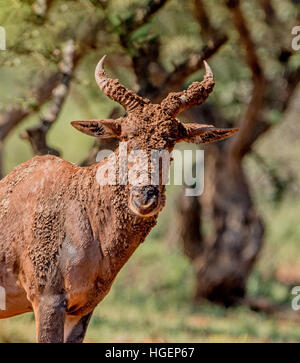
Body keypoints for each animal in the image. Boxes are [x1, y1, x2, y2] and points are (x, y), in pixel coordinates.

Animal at [0, 55, 238, 342]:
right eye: (125, 136)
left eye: (171, 139)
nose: (145, 198)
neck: (81, 203)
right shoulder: (47, 301)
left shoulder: (81, 310)